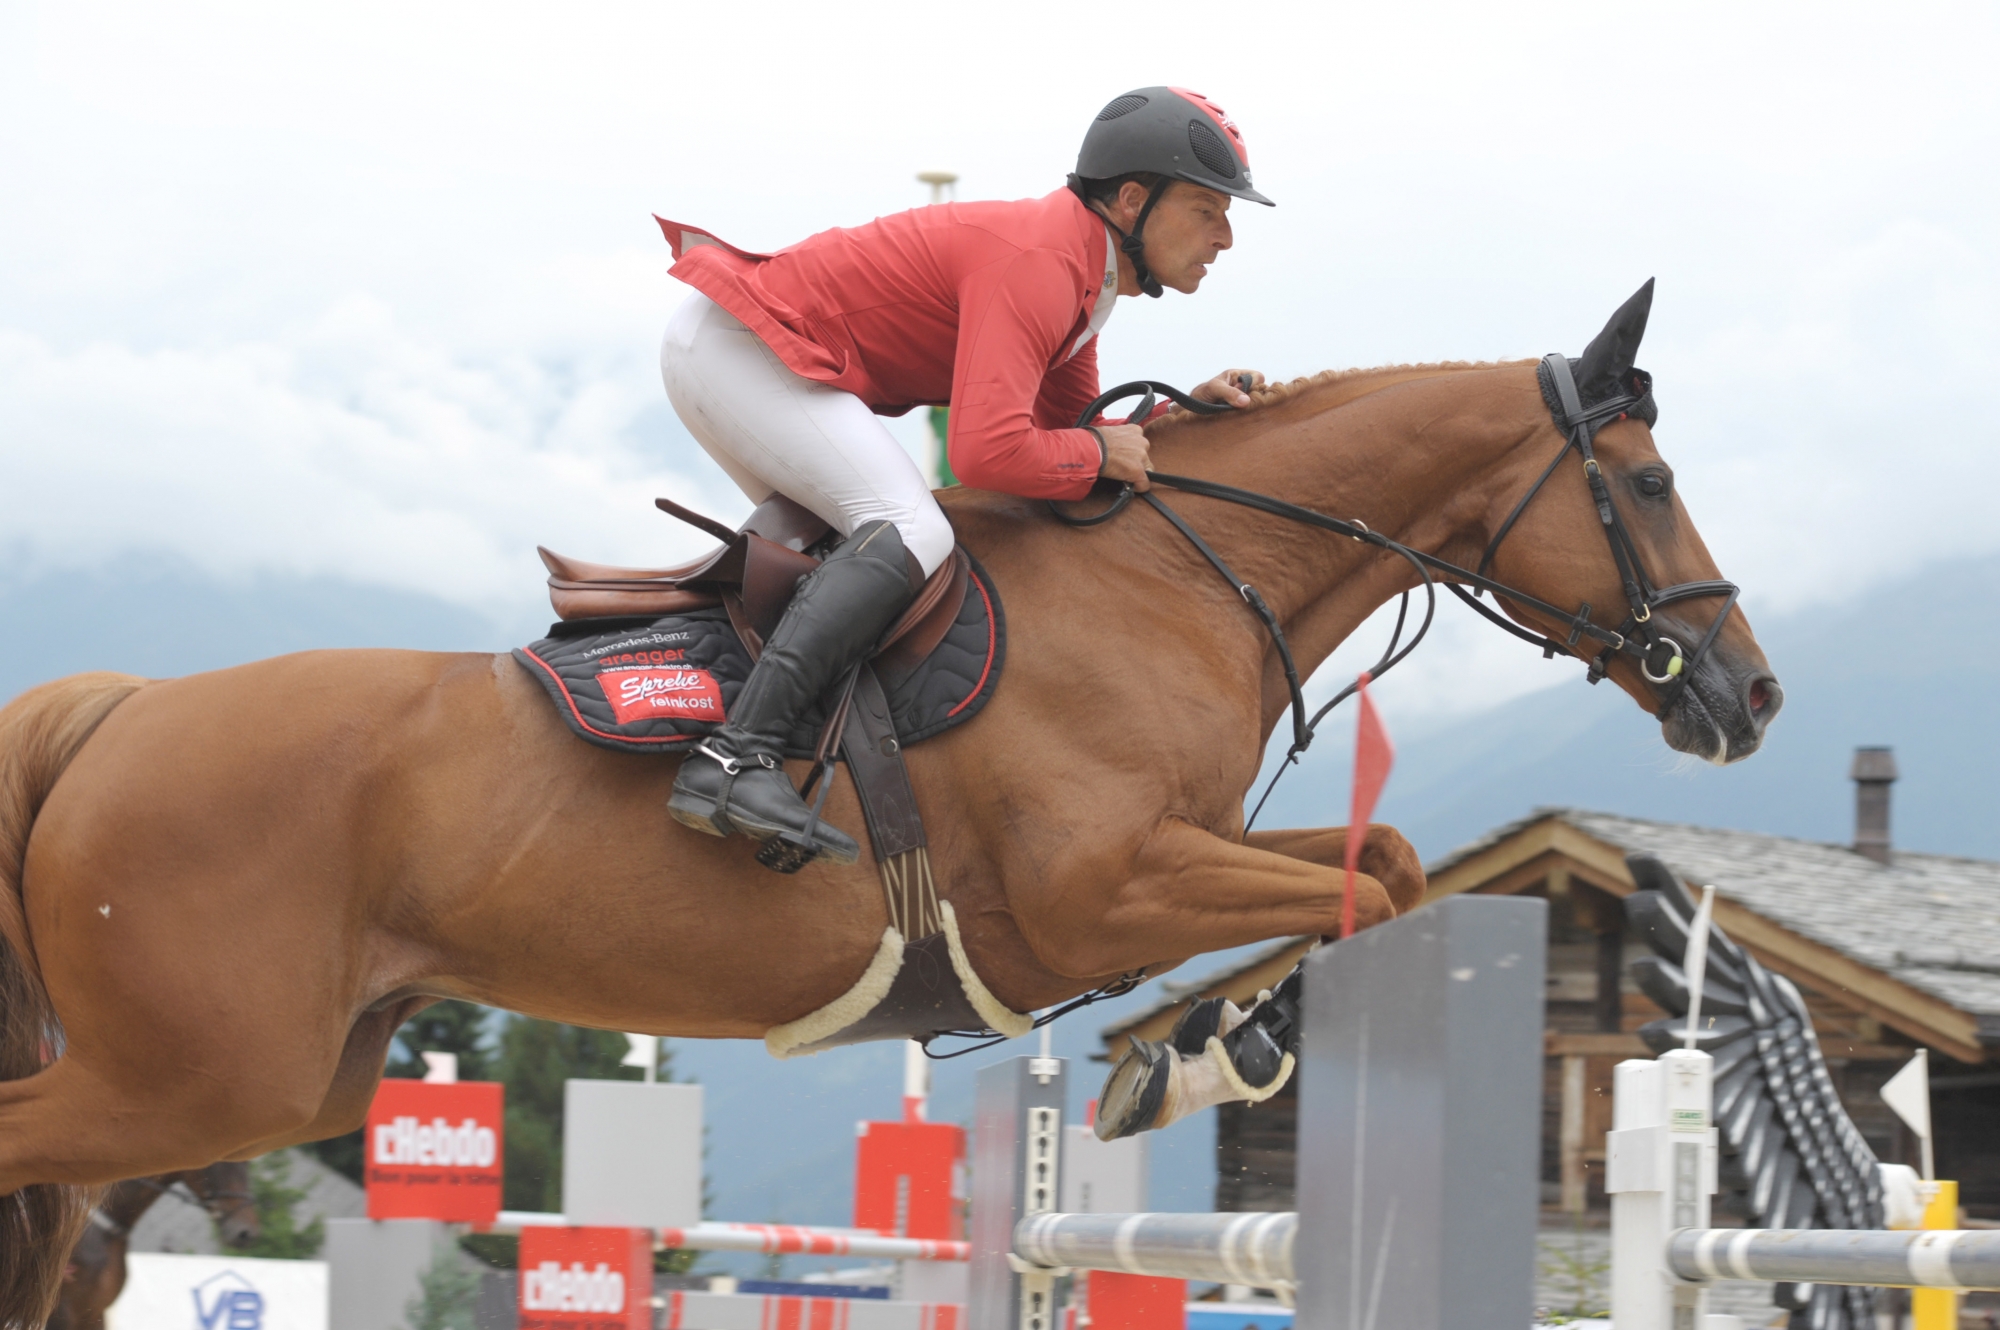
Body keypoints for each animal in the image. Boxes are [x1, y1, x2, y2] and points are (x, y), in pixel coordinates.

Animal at [0, 290, 1784, 1320]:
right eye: (1645, 485)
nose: (1745, 691)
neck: (1177, 577)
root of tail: (121, 708)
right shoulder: (1098, 890)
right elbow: (1385, 878)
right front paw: (1203, 1048)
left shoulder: (1171, 863)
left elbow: (1382, 864)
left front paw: (1205, 1046)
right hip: (197, 1073)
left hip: (278, 1076)